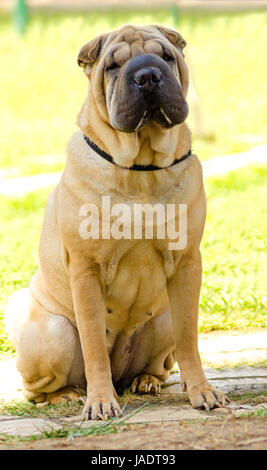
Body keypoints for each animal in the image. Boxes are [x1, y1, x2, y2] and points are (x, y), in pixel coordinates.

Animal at [5, 23, 229, 420]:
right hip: (50, 332)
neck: (142, 168)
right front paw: (99, 402)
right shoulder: (86, 270)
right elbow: (94, 342)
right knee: (36, 388)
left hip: (163, 317)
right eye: (113, 65)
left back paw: (146, 381)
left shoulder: (187, 264)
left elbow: (189, 339)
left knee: (163, 358)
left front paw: (202, 391)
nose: (148, 75)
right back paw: (67, 395)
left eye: (167, 56)